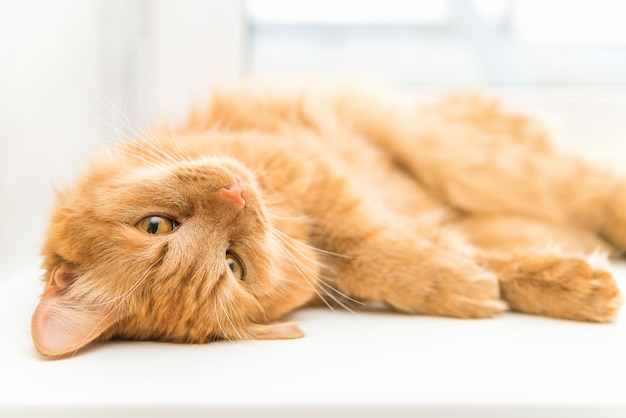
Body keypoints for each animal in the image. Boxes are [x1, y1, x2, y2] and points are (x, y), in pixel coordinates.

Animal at [31, 83, 620, 358]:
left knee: (591, 188)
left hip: (459, 155)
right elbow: (434, 257)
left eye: (155, 226)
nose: (234, 195)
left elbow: (371, 245)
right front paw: (495, 286)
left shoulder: (316, 172)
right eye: (233, 265)